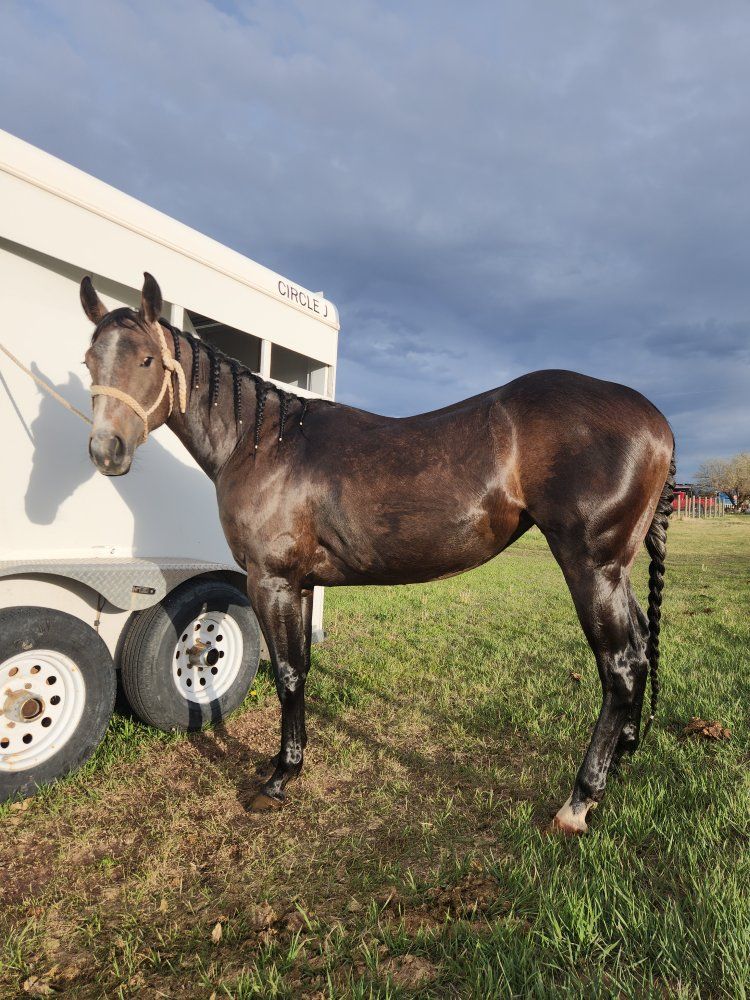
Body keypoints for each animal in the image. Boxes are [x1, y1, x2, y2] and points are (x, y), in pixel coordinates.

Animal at [80, 272, 675, 834]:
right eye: (90, 359)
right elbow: (300, 669)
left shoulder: (270, 581)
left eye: (147, 359)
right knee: (641, 647)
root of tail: (657, 422)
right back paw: (621, 756)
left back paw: (579, 801)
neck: (263, 443)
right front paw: (289, 763)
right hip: (615, 570)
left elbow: (288, 674)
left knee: (620, 665)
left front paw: (278, 779)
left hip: (590, 566)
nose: (106, 451)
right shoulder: (298, 584)